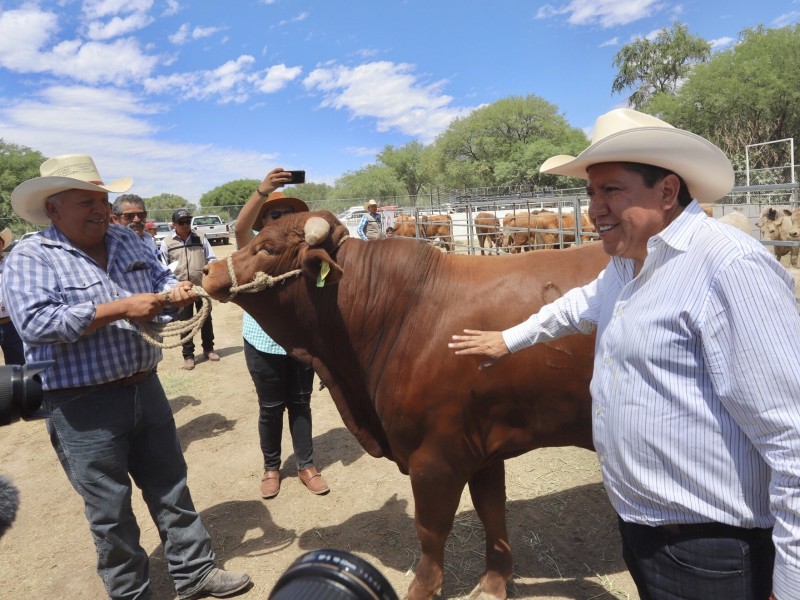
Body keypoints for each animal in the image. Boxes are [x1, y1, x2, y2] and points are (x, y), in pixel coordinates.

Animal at [203, 211, 608, 600]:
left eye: (268, 248)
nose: (209, 271)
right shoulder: (483, 448)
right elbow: (492, 513)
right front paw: (494, 584)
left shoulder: (436, 456)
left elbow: (431, 529)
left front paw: (422, 589)